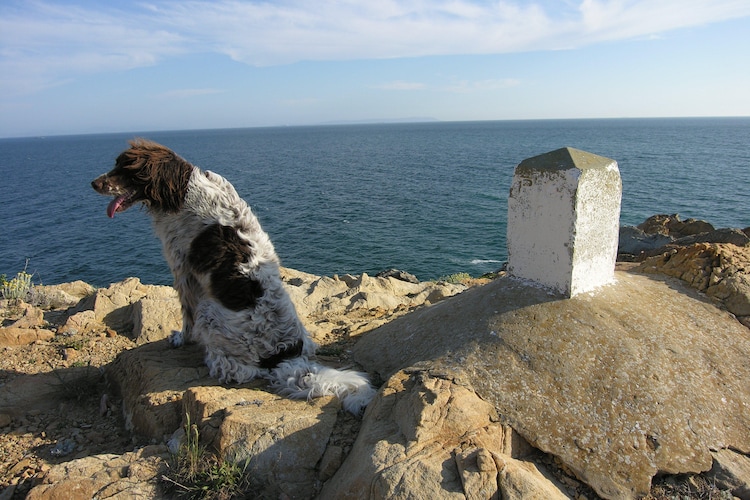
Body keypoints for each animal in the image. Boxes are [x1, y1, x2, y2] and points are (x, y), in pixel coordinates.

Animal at [91, 138, 376, 414]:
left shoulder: (182, 270)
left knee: (237, 370)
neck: (182, 191)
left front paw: (180, 339)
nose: (93, 183)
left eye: (126, 169)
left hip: (209, 312)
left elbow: (186, 317)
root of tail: (283, 356)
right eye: (116, 164)